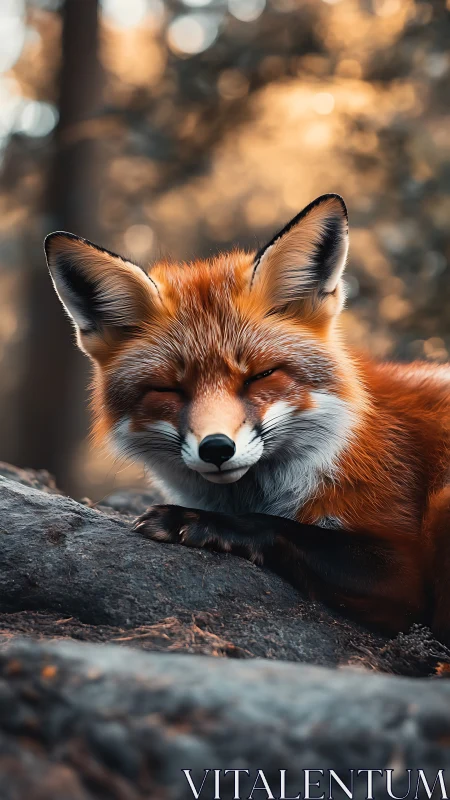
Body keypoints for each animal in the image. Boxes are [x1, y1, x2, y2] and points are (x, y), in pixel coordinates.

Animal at [44, 194, 450, 643]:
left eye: (260, 375)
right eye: (169, 389)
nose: (217, 448)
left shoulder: (404, 570)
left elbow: (280, 528)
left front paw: (200, 522)